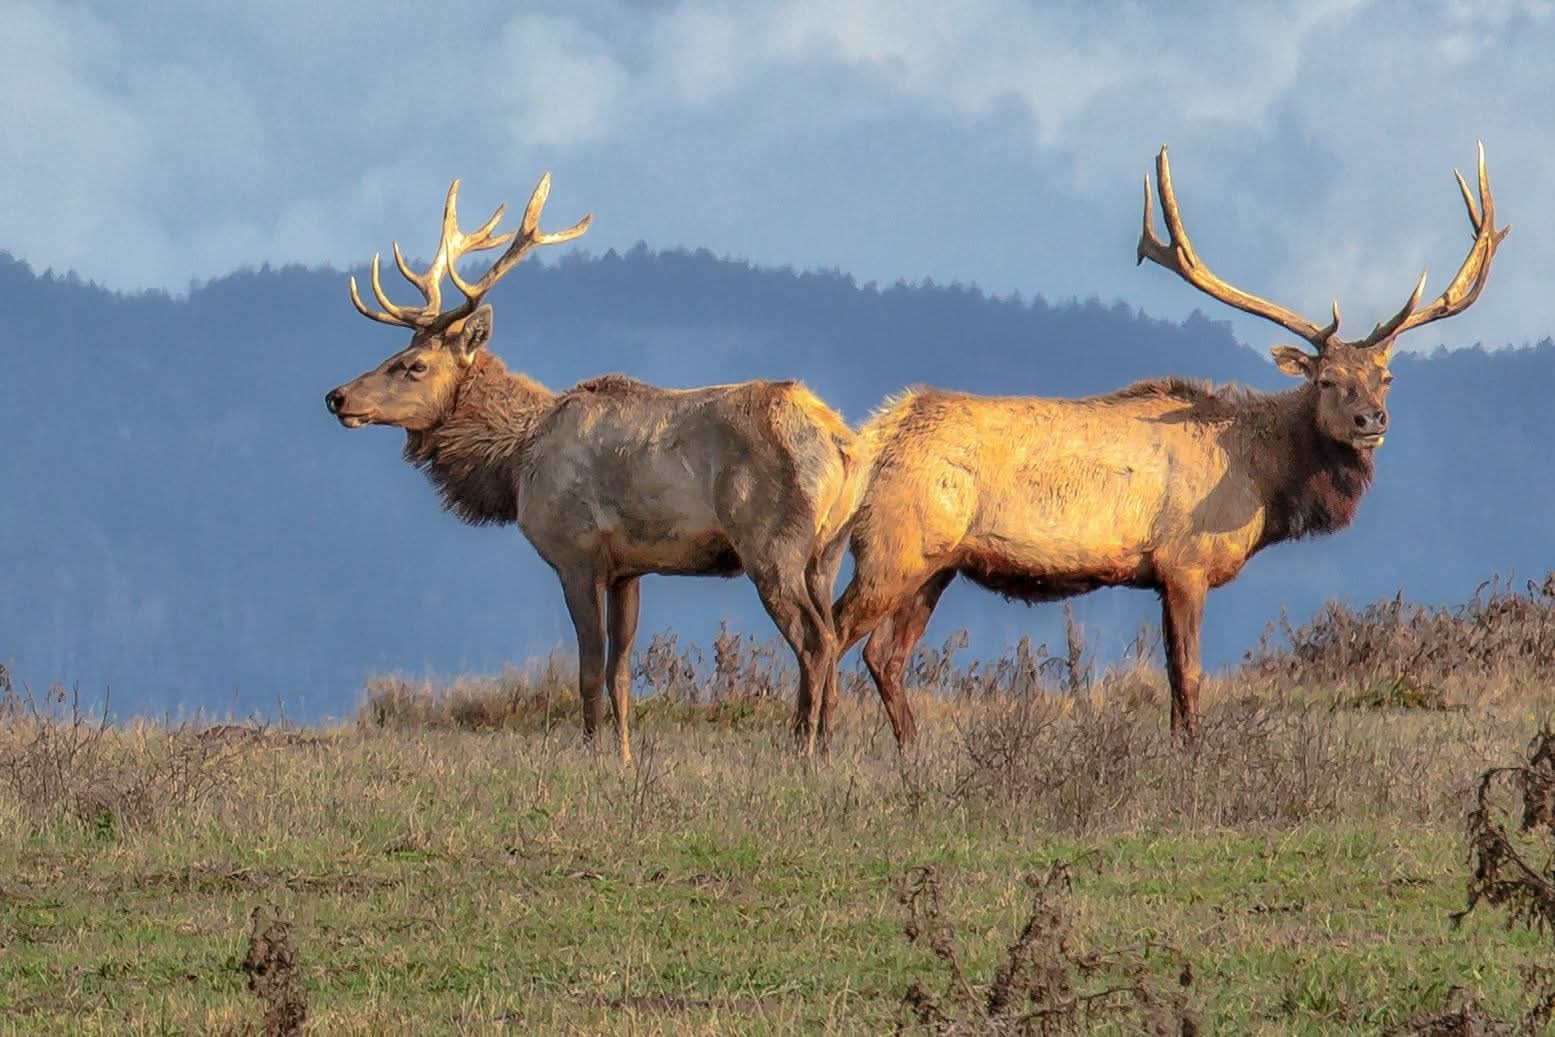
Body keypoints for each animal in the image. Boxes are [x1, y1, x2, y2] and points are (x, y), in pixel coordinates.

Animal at [324, 174, 864, 761]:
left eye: (414, 365)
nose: (337, 397)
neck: (515, 462)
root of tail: (841, 444)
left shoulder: (575, 553)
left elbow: (587, 670)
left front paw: (590, 752)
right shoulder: (629, 568)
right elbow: (620, 673)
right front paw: (625, 757)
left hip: (772, 544)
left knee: (815, 641)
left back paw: (802, 747)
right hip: (827, 551)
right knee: (834, 635)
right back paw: (826, 746)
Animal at [825, 143, 1508, 745]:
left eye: (1384, 377)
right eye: (1326, 379)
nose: (1372, 420)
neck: (1262, 481)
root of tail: (874, 438)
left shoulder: (1158, 574)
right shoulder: (1185, 562)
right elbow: (1188, 675)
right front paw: (1192, 756)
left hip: (936, 564)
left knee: (884, 656)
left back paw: (912, 756)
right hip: (893, 545)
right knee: (828, 634)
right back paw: (816, 748)